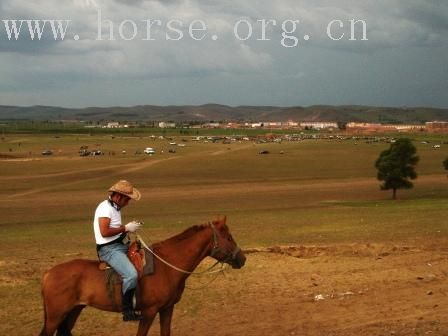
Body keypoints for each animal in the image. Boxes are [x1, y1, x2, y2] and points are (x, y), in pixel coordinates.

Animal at [40, 217, 247, 334]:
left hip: (73, 311)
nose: (242, 258)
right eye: (228, 238)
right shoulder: (149, 312)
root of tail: (48, 274)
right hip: (55, 316)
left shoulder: (167, 309)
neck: (166, 267)